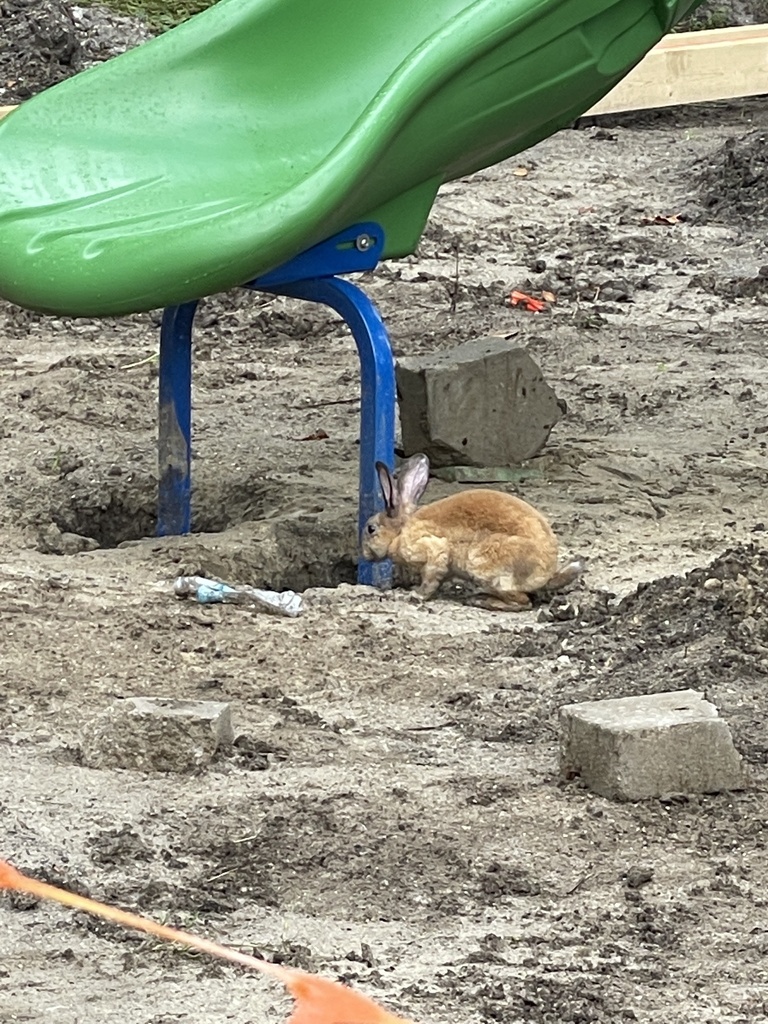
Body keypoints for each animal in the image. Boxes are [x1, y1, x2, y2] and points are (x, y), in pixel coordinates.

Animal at [361, 453, 584, 611]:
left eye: (371, 529)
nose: (364, 554)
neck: (400, 532)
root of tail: (546, 574)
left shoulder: (433, 550)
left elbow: (430, 579)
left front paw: (414, 595)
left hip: (484, 564)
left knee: (523, 602)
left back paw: (479, 600)